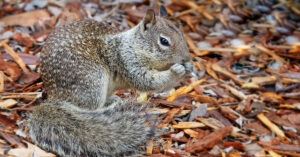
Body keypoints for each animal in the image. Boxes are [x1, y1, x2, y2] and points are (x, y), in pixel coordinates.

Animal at [28, 5, 192, 156]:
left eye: (183, 36)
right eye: (164, 41)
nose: (187, 58)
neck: (131, 44)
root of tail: (55, 98)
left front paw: (189, 67)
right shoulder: (128, 61)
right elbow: (146, 81)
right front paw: (176, 71)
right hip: (92, 82)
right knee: (90, 109)